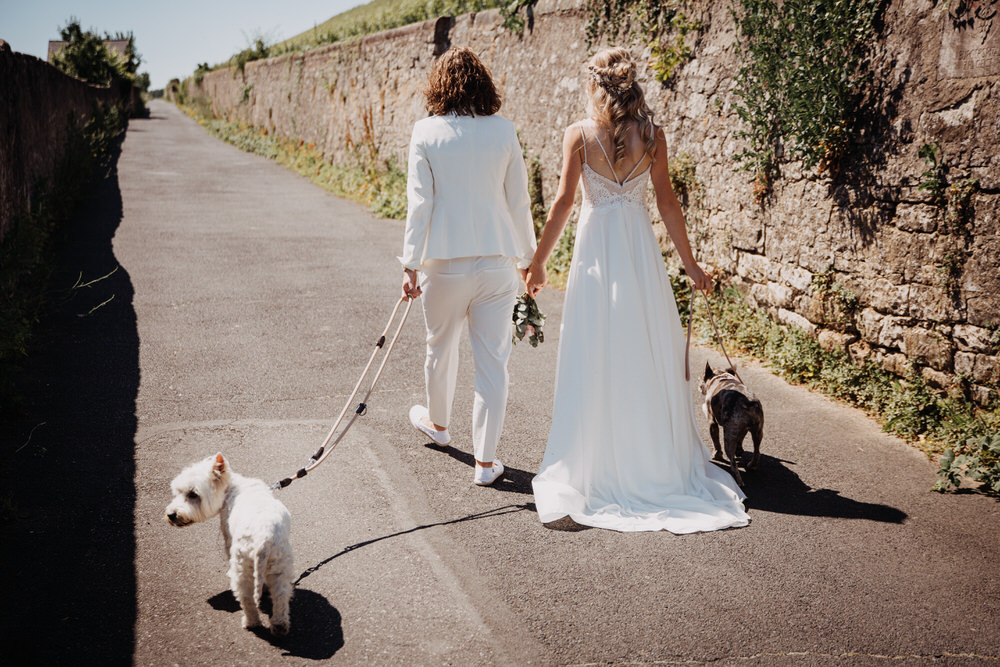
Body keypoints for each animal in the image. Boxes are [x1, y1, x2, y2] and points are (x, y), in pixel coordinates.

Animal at [164, 454, 294, 636]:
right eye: (177, 492)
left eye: (193, 494)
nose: (171, 515)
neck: (232, 486)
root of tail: (264, 537)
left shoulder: (228, 535)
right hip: (280, 564)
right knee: (281, 595)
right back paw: (280, 626)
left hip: (242, 566)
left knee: (247, 598)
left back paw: (250, 622)